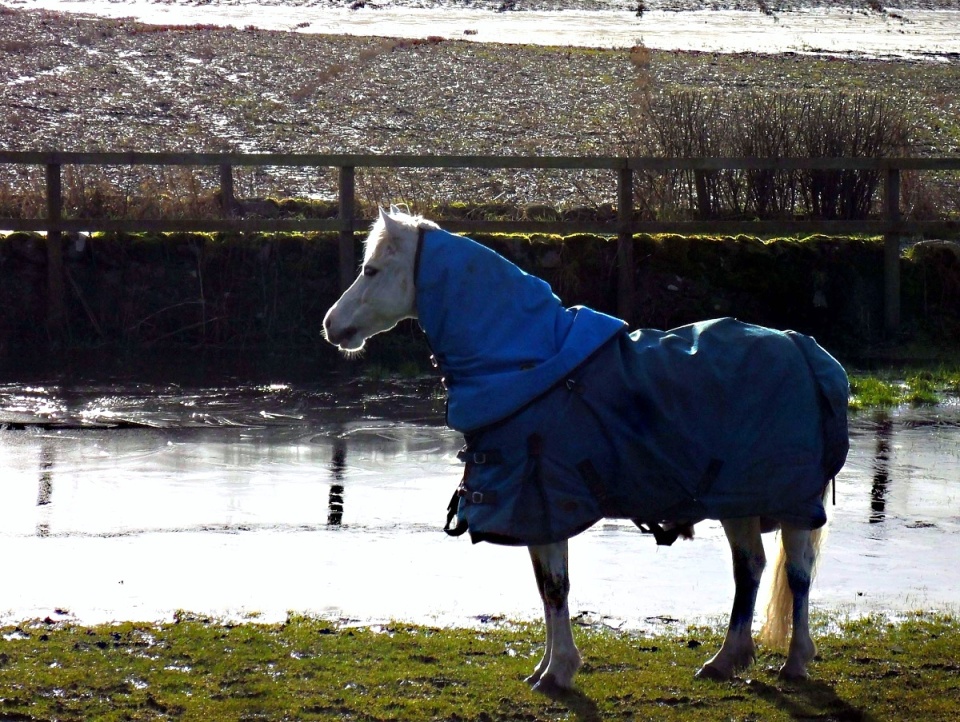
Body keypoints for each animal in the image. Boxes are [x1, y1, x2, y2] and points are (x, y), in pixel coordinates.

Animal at [323, 207, 849, 692]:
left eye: (371, 270)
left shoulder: (542, 504)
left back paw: (795, 662)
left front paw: (558, 671)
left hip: (787, 501)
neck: (528, 365)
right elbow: (546, 588)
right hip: (739, 499)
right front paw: (546, 668)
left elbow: (556, 589)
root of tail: (804, 348)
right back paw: (725, 660)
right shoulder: (537, 514)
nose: (331, 325)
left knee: (797, 574)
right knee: (750, 568)